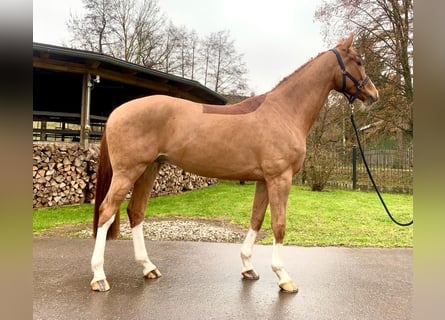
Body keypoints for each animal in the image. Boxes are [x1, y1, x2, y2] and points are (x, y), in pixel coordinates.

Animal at [90, 34, 378, 292]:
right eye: (358, 61)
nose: (373, 95)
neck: (284, 111)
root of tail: (117, 112)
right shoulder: (280, 178)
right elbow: (279, 224)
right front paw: (283, 277)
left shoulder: (264, 180)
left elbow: (257, 220)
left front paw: (248, 267)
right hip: (128, 172)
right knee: (107, 211)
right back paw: (99, 277)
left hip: (149, 169)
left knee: (136, 212)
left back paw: (148, 267)